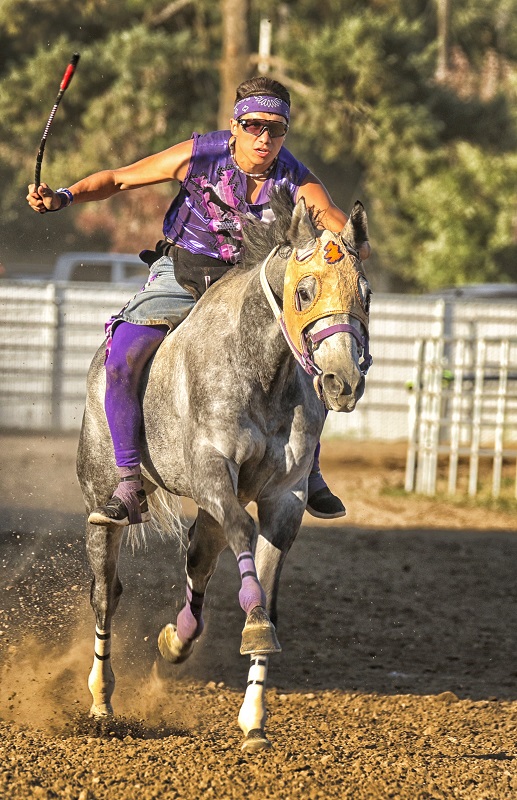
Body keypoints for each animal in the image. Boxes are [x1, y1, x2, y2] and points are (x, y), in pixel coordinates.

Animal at [76, 189, 371, 752]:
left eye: (365, 294)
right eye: (304, 292)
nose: (342, 382)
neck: (260, 369)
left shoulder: (285, 498)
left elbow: (266, 580)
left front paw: (254, 716)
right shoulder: (213, 474)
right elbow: (243, 529)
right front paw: (252, 621)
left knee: (197, 560)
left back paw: (177, 640)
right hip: (101, 506)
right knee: (106, 593)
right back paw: (101, 700)